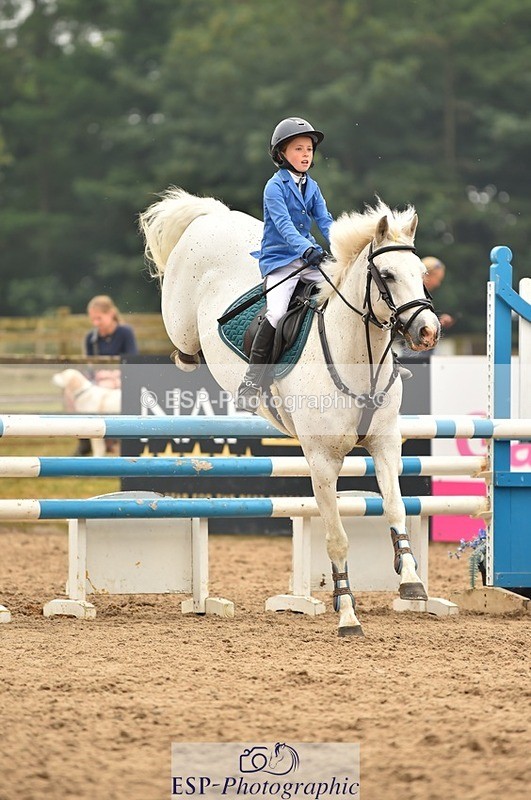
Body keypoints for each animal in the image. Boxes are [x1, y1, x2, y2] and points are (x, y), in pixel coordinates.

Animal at [139, 188, 440, 637]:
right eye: (386, 275)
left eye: (421, 273)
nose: (428, 331)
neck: (359, 357)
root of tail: (214, 215)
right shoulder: (322, 460)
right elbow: (336, 537)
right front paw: (347, 613)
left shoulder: (385, 446)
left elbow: (396, 508)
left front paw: (411, 582)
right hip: (181, 322)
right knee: (184, 350)